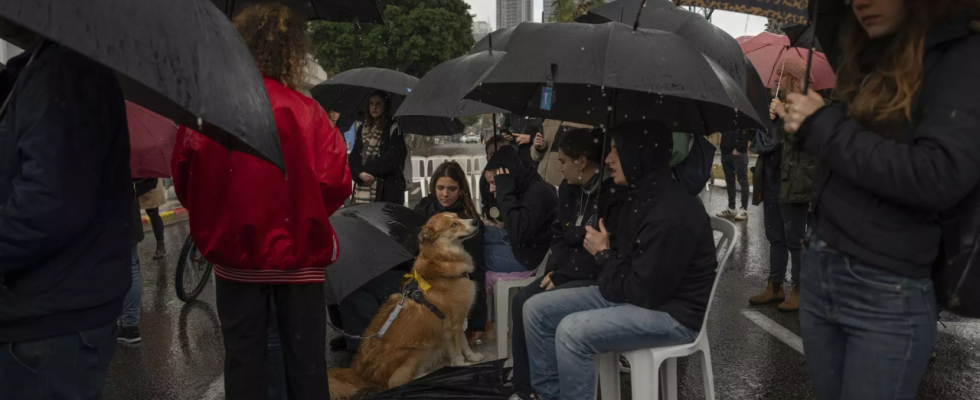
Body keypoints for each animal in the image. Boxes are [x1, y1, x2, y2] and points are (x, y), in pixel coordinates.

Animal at [328, 212, 484, 396]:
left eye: (458, 216)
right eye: (453, 225)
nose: (475, 221)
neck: (442, 264)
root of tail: (357, 372)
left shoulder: (458, 320)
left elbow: (464, 342)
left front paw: (473, 357)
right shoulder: (452, 325)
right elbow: (457, 349)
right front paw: (461, 365)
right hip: (419, 350)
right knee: (396, 382)